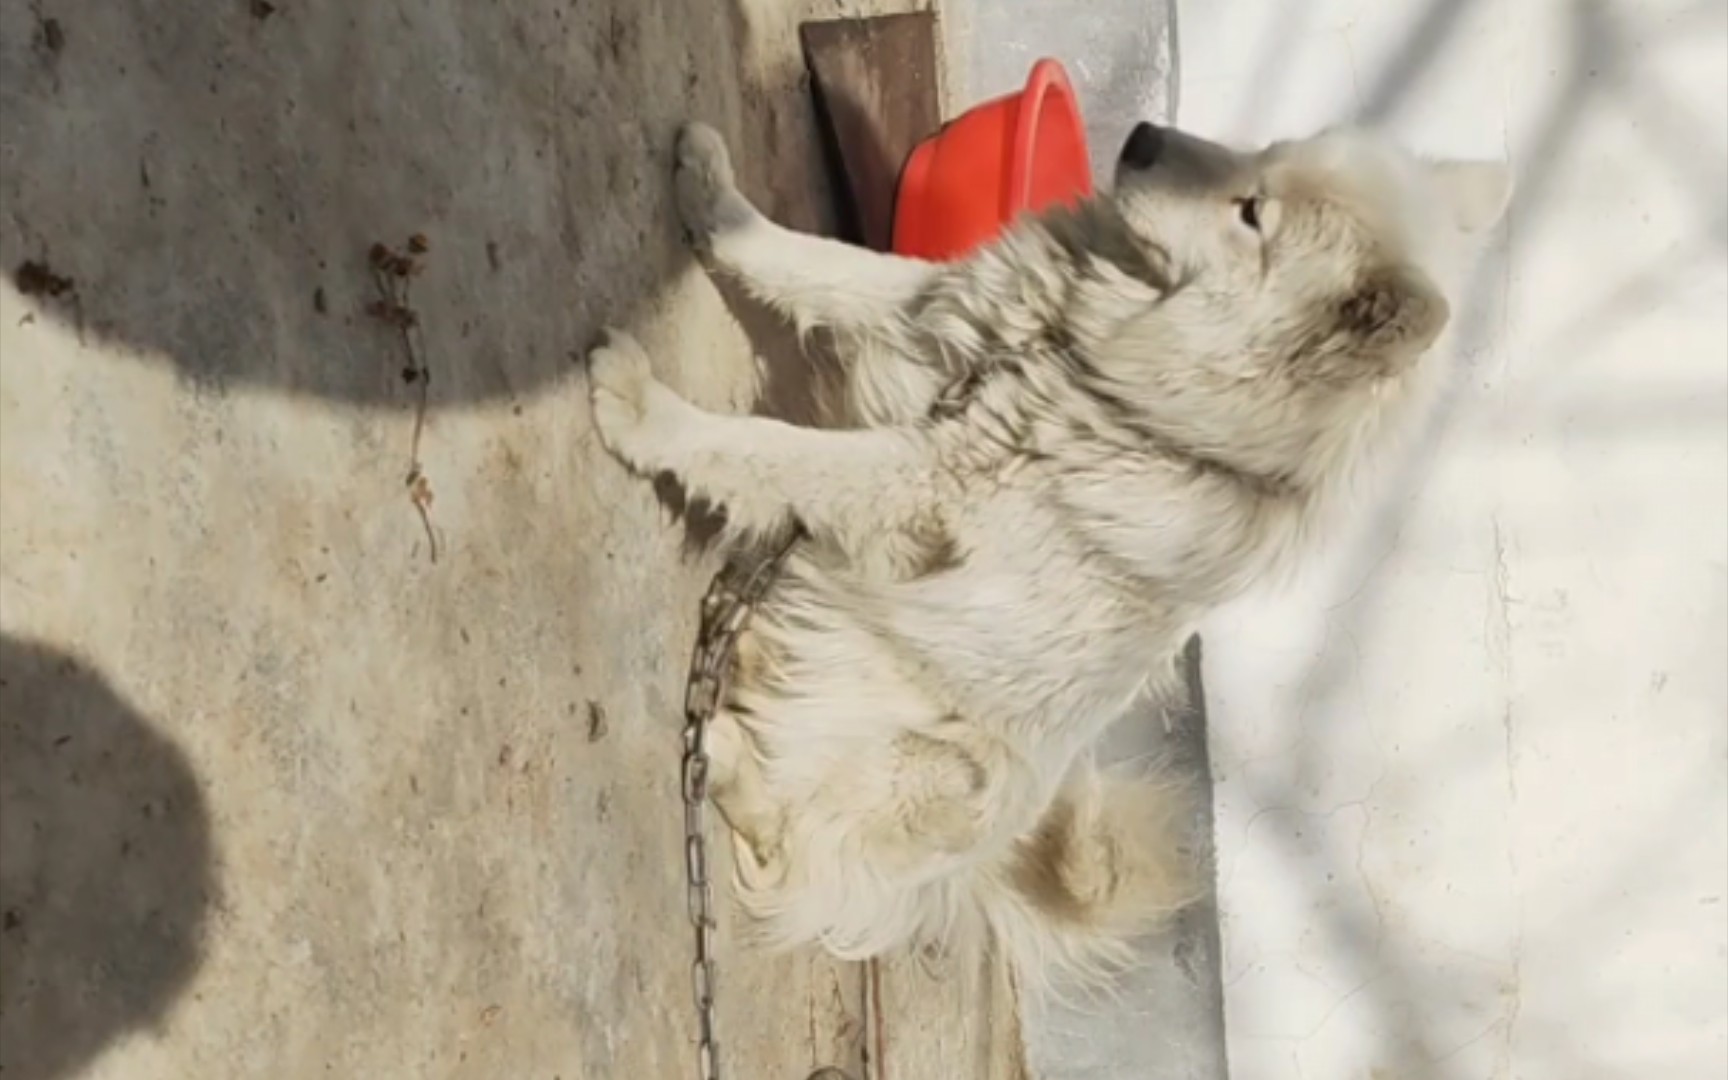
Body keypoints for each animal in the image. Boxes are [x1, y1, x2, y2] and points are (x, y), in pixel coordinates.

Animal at [587, 120, 1506, 988]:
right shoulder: (933, 305)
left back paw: (721, 749)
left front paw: (638, 409)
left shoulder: (923, 478)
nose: (1142, 138)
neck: (1090, 367)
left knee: (788, 839)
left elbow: (766, 447)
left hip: (945, 766)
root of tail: (975, 876)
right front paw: (711, 192)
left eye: (1252, 214)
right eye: (1261, 156)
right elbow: (806, 259)